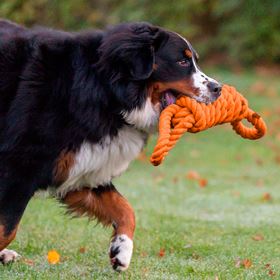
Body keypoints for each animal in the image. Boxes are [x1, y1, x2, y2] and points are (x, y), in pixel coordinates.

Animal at [0, 19, 222, 272]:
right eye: (182, 61)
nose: (218, 88)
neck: (104, 91)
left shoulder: (81, 167)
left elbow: (124, 209)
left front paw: (121, 250)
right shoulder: (19, 168)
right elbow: (7, 229)